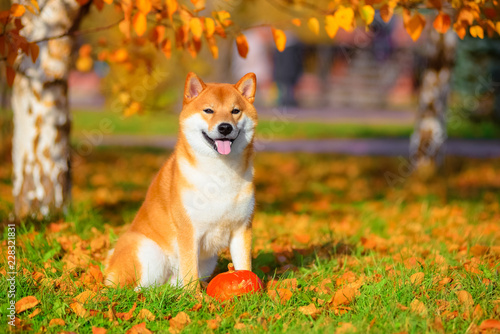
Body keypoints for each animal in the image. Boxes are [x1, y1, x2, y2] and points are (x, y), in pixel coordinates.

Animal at [103, 72, 256, 290]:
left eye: (235, 111)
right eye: (208, 110)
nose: (225, 127)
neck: (220, 172)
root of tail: (110, 261)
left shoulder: (242, 228)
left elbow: (244, 266)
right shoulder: (188, 231)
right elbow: (190, 272)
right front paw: (196, 297)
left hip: (207, 262)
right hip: (149, 254)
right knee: (130, 289)